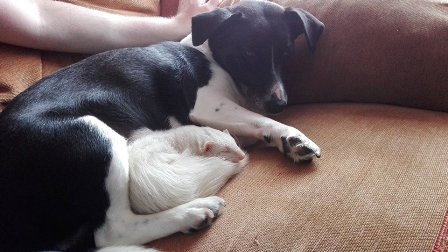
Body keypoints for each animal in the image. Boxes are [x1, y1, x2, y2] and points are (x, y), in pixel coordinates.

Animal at [0, 0, 324, 250]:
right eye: (248, 52)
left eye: (285, 52)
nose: (279, 104)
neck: (209, 54)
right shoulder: (207, 104)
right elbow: (259, 120)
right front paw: (291, 136)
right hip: (93, 134)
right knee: (113, 230)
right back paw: (192, 212)